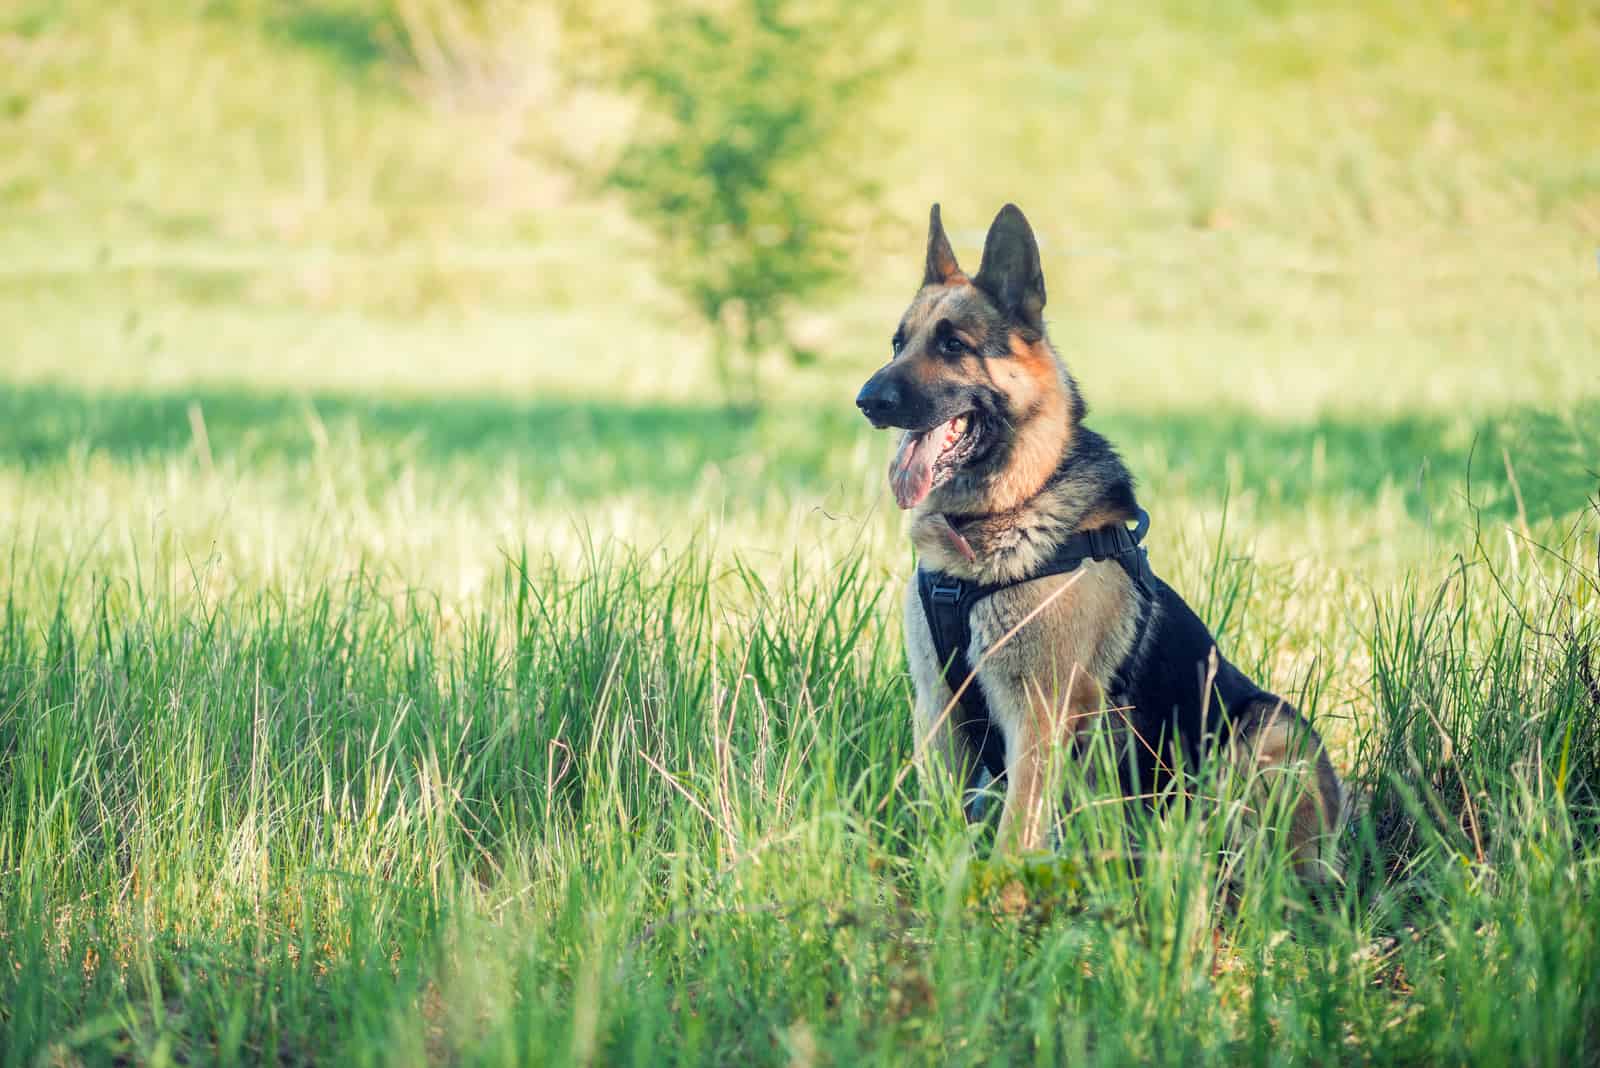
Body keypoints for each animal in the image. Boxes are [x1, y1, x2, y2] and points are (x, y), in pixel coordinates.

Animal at [857, 204, 1344, 882]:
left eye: (953, 345)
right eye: (899, 344)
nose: (867, 401)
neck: (1002, 517)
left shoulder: (1037, 717)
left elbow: (1016, 835)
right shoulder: (938, 707)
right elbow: (940, 821)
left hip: (1265, 729)